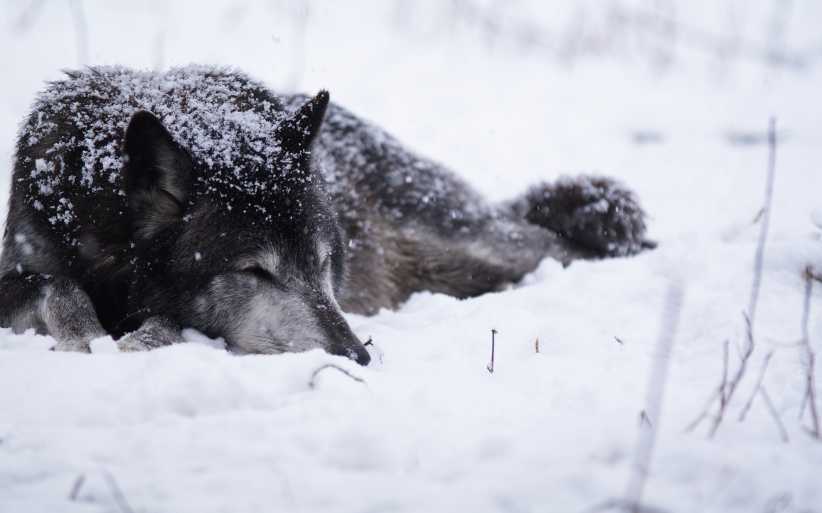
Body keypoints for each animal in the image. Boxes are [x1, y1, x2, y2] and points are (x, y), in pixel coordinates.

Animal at [0, 66, 652, 365]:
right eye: (255, 271)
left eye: (322, 264)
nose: (358, 357)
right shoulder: (23, 264)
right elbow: (55, 284)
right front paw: (88, 334)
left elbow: (159, 321)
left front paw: (134, 339)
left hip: (476, 249)